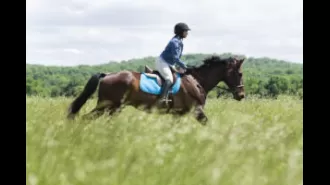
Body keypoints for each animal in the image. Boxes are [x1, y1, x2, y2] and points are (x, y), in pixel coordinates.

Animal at [67, 55, 245, 124]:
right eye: (240, 73)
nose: (241, 95)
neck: (196, 81)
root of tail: (107, 75)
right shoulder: (197, 111)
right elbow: (207, 124)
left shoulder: (178, 115)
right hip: (108, 106)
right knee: (85, 118)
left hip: (112, 108)